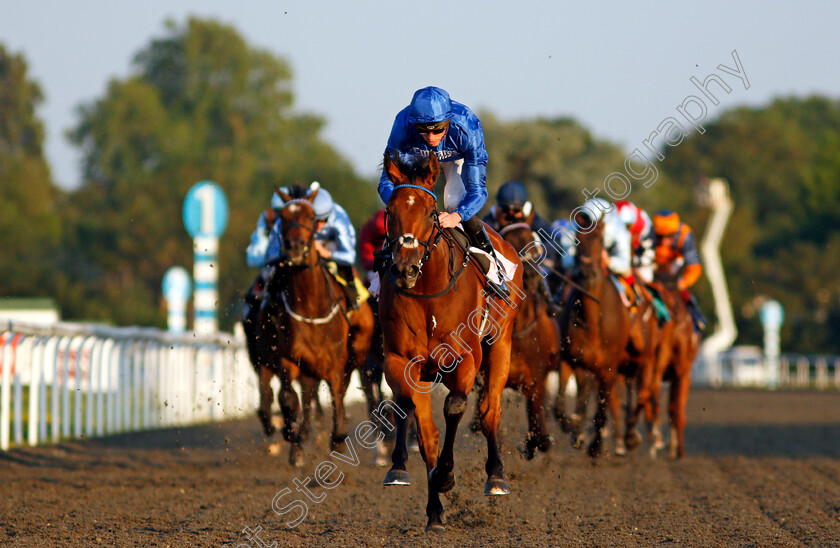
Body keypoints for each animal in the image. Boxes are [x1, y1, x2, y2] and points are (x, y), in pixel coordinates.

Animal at [256, 186, 374, 464]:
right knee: (305, 395)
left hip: (357, 354)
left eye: (310, 217)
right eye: (284, 218)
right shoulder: (289, 358)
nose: (295, 248)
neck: (310, 307)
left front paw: (339, 438)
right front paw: (292, 435)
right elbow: (287, 398)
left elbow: (338, 396)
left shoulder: (336, 360)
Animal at [378, 150, 520, 532]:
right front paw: (406, 475)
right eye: (390, 211)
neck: (428, 292)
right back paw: (427, 503)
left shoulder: (465, 358)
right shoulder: (400, 359)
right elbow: (417, 420)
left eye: (430, 211)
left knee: (490, 411)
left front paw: (446, 475)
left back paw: (496, 477)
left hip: (500, 345)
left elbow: (456, 407)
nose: (405, 269)